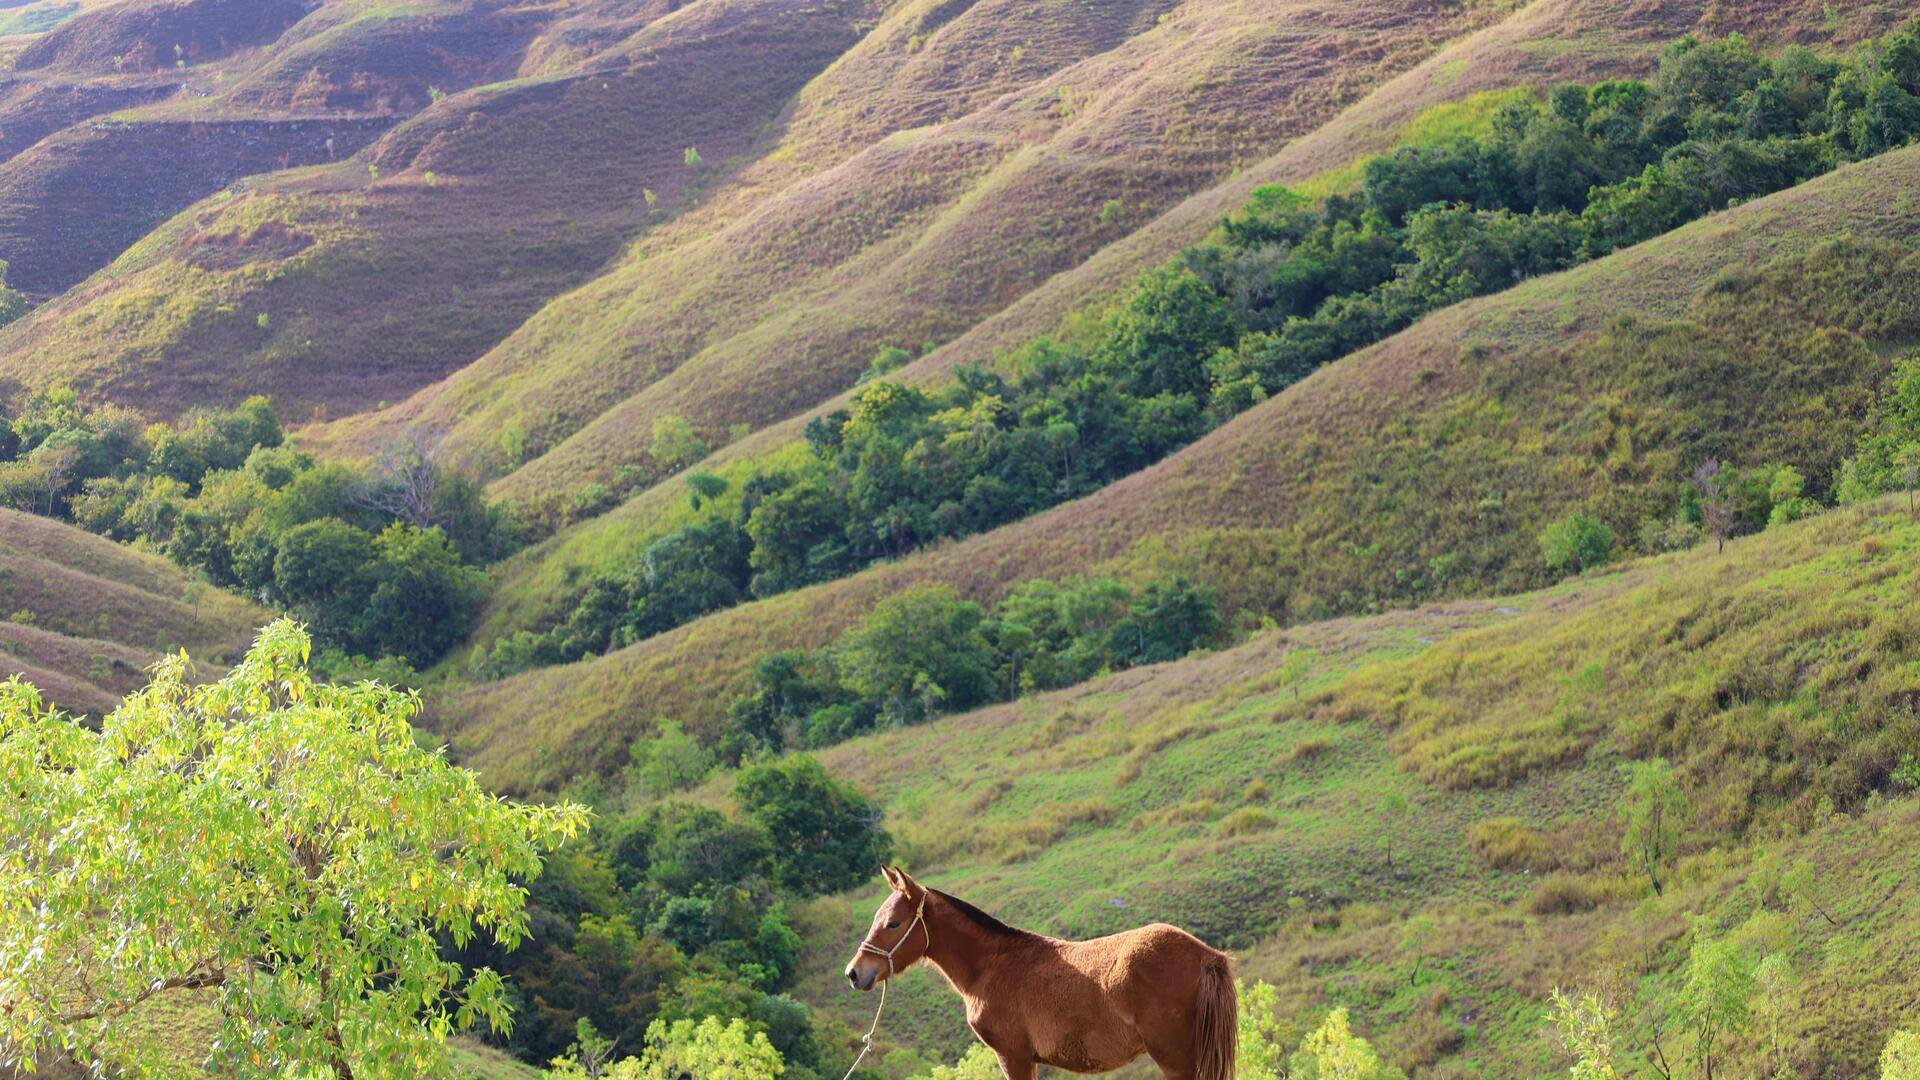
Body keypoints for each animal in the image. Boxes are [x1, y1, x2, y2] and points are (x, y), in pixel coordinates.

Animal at [848, 864, 1236, 1076]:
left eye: (894, 923)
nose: (855, 972)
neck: (994, 965)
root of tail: (1206, 955)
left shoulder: (1013, 1056)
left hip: (1175, 1058)